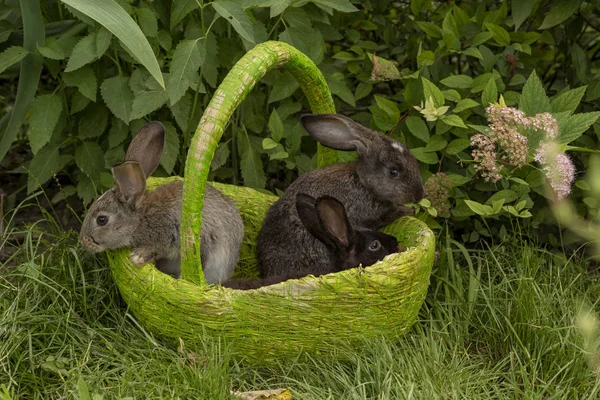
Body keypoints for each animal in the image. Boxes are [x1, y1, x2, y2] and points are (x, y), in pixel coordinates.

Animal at [79, 120, 244, 282]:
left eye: (101, 220)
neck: (140, 219)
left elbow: (156, 248)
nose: (84, 242)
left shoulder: (168, 234)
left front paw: (137, 256)